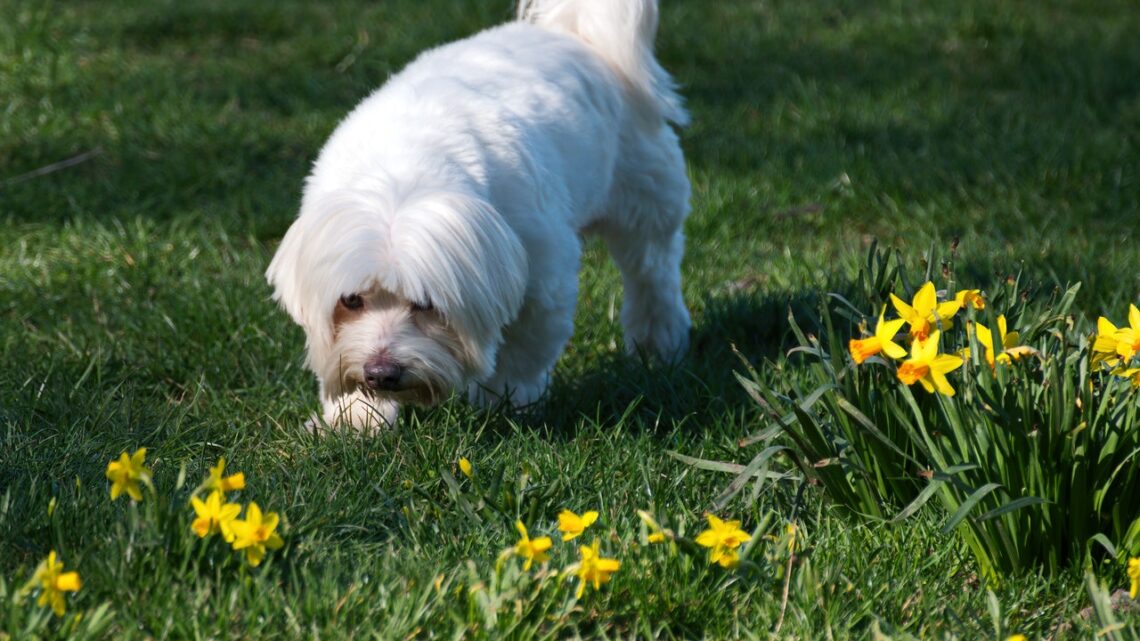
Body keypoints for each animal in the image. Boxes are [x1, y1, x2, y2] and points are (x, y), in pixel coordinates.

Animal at [269, 1, 693, 428]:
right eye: (351, 300)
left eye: (427, 304)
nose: (382, 373)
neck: (402, 172)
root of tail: (574, 34)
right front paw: (355, 418)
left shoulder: (541, 279)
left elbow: (522, 354)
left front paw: (504, 404)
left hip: (645, 199)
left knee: (652, 274)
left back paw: (657, 346)